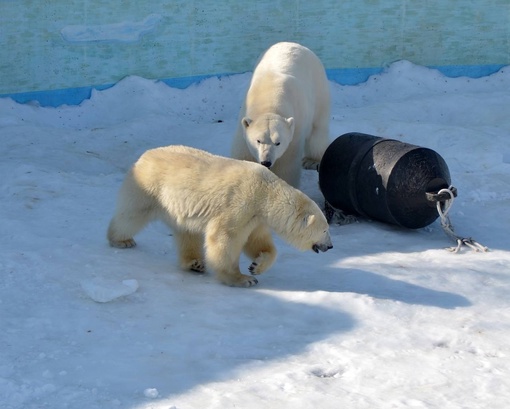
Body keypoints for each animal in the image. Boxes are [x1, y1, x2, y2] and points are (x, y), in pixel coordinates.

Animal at [105, 145, 332, 286]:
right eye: (325, 230)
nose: (330, 246)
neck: (266, 192)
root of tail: (145, 155)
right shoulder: (241, 204)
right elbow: (224, 237)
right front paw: (241, 278)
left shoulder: (255, 217)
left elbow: (257, 241)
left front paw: (256, 266)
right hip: (150, 188)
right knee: (132, 214)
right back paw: (121, 239)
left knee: (187, 232)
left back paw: (195, 263)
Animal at [231, 40, 330, 187]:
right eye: (258, 140)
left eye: (278, 143)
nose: (266, 162)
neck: (269, 99)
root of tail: (293, 43)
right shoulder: (244, 124)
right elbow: (243, 155)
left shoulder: (294, 134)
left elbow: (286, 165)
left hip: (319, 88)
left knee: (318, 128)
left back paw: (312, 160)